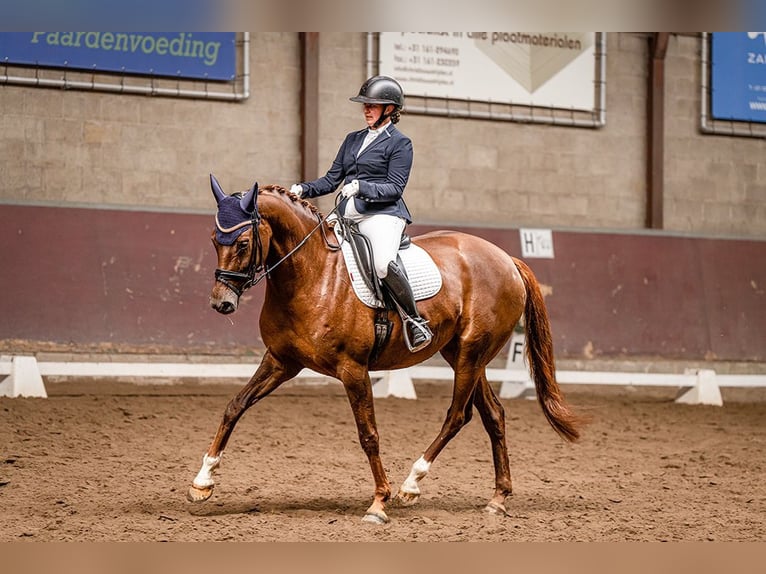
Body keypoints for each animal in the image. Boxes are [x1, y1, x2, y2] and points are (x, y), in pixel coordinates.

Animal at [189, 178, 580, 524]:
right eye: (213, 240)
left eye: (242, 243)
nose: (221, 304)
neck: (313, 275)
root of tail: (507, 259)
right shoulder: (281, 361)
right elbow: (235, 406)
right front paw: (202, 481)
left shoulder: (352, 369)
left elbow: (369, 435)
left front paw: (379, 502)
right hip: (464, 355)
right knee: (493, 415)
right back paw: (498, 499)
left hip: (471, 353)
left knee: (457, 415)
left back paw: (412, 484)